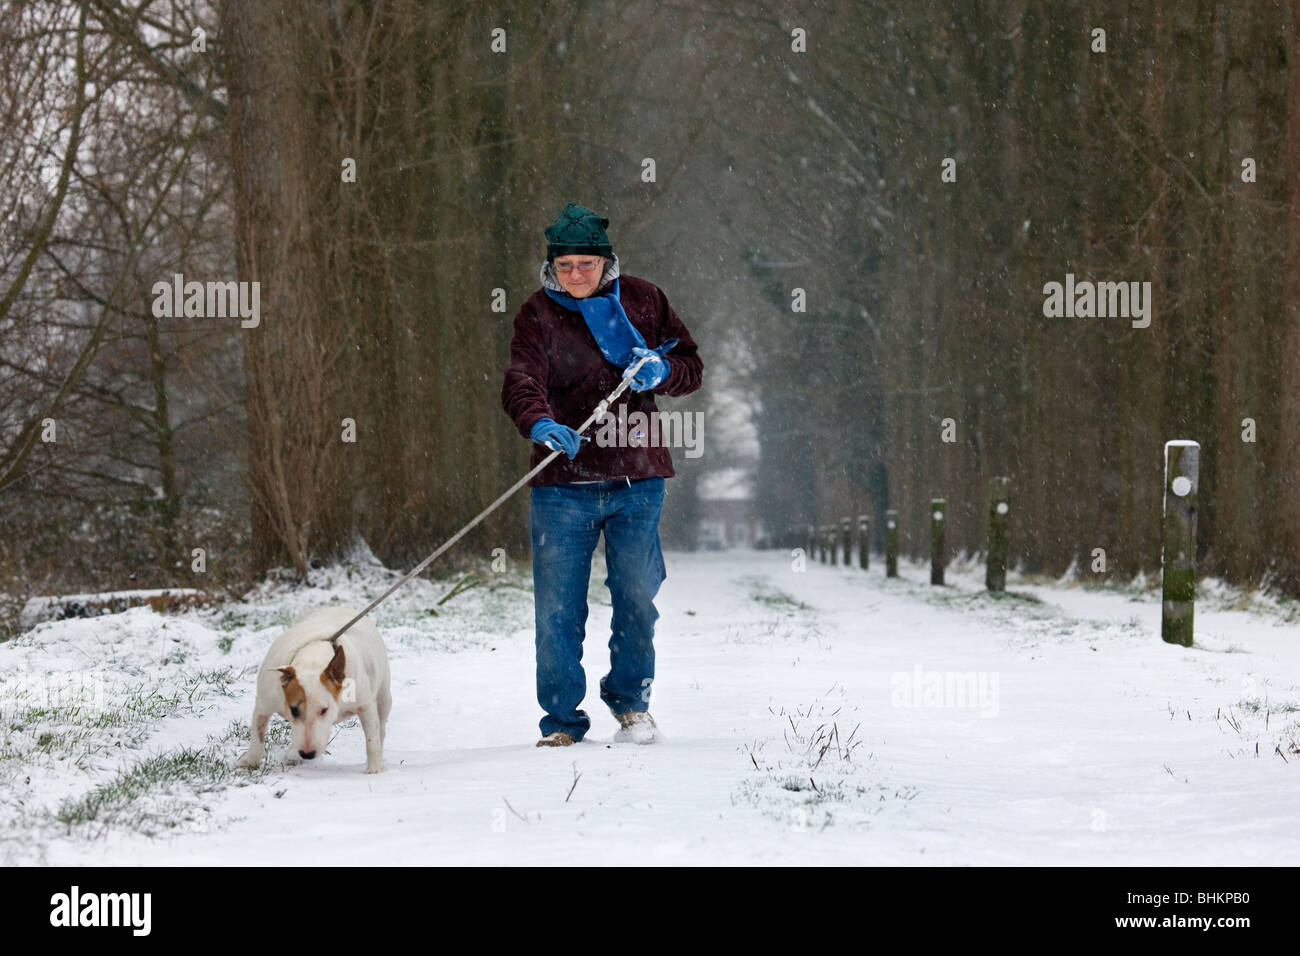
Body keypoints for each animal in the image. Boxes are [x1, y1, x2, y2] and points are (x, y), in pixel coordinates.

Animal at [236, 608, 390, 775]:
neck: (313, 661)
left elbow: (371, 737)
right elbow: (257, 734)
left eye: (324, 710)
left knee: (381, 726)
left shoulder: (365, 705)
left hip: (384, 696)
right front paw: (249, 761)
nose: (307, 754)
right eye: (293, 710)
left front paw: (375, 768)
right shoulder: (264, 703)